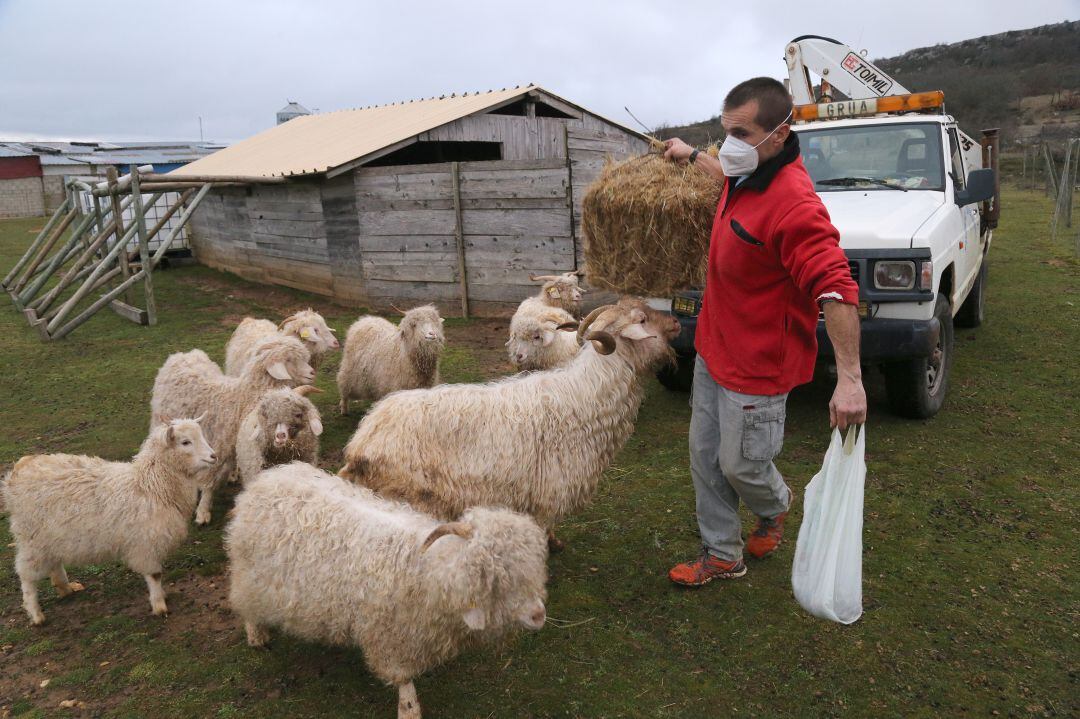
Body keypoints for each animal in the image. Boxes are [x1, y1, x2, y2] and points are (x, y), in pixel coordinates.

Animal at [1, 414, 217, 621]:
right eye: (185, 442)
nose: (214, 456)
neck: (150, 485)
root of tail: (17, 472)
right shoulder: (145, 542)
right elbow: (155, 575)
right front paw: (159, 605)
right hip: (31, 539)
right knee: (26, 576)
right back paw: (35, 613)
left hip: (50, 537)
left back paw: (65, 588)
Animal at [227, 459, 548, 716]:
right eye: (496, 578)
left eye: (532, 570)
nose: (539, 615)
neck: (428, 571)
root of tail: (264, 480)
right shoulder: (390, 636)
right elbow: (402, 679)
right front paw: (409, 709)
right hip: (251, 576)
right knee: (243, 603)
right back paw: (256, 635)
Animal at [336, 295, 678, 548]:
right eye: (642, 319)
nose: (675, 322)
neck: (586, 397)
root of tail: (360, 442)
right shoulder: (547, 493)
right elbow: (545, 525)